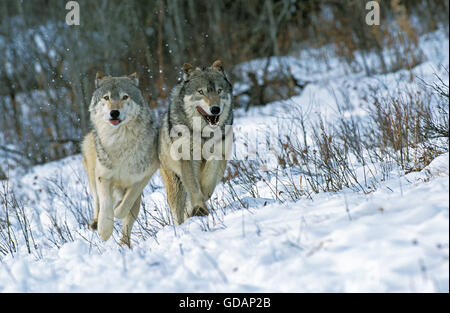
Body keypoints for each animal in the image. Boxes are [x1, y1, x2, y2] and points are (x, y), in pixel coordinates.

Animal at [81, 72, 159, 245]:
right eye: (106, 97)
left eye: (125, 97)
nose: (114, 112)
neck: (120, 141)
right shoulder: (103, 176)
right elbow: (105, 204)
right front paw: (104, 229)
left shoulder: (145, 175)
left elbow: (125, 206)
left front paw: (117, 211)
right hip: (92, 175)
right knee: (97, 201)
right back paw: (95, 223)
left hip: (137, 201)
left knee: (128, 221)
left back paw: (124, 245)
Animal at [158, 59, 234, 224]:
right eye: (201, 92)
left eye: (219, 91)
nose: (215, 109)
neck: (203, 134)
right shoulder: (187, 158)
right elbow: (193, 186)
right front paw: (200, 208)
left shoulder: (218, 155)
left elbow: (207, 182)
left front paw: (201, 203)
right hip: (175, 186)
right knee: (178, 213)